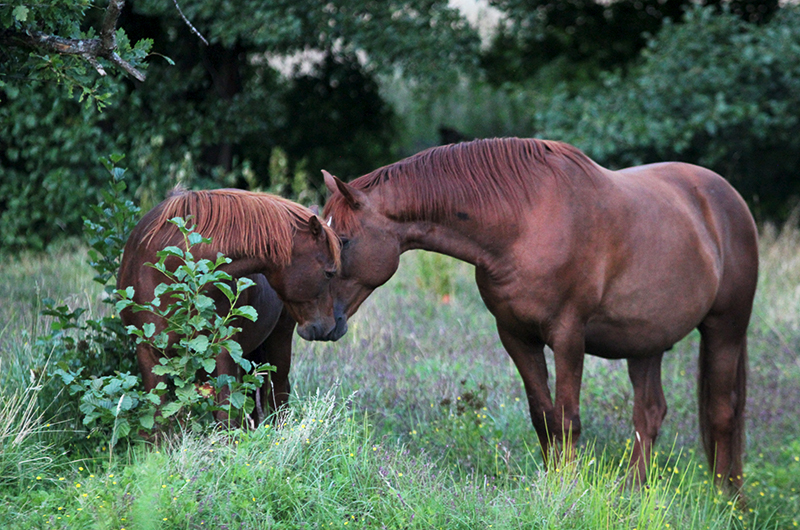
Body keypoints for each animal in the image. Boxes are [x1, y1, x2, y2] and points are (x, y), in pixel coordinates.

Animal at [119, 186, 344, 420]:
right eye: (329, 273)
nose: (331, 327)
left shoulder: (223, 351)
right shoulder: (148, 353)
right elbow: (159, 421)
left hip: (278, 341)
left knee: (278, 395)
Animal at [322, 136, 760, 486]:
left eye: (344, 240)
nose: (321, 326)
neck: (524, 221)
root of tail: (727, 198)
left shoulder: (568, 336)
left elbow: (567, 420)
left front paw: (566, 489)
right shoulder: (516, 335)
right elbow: (543, 417)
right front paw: (552, 485)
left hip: (726, 328)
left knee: (723, 415)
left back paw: (726, 501)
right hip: (646, 341)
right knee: (649, 415)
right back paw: (634, 494)